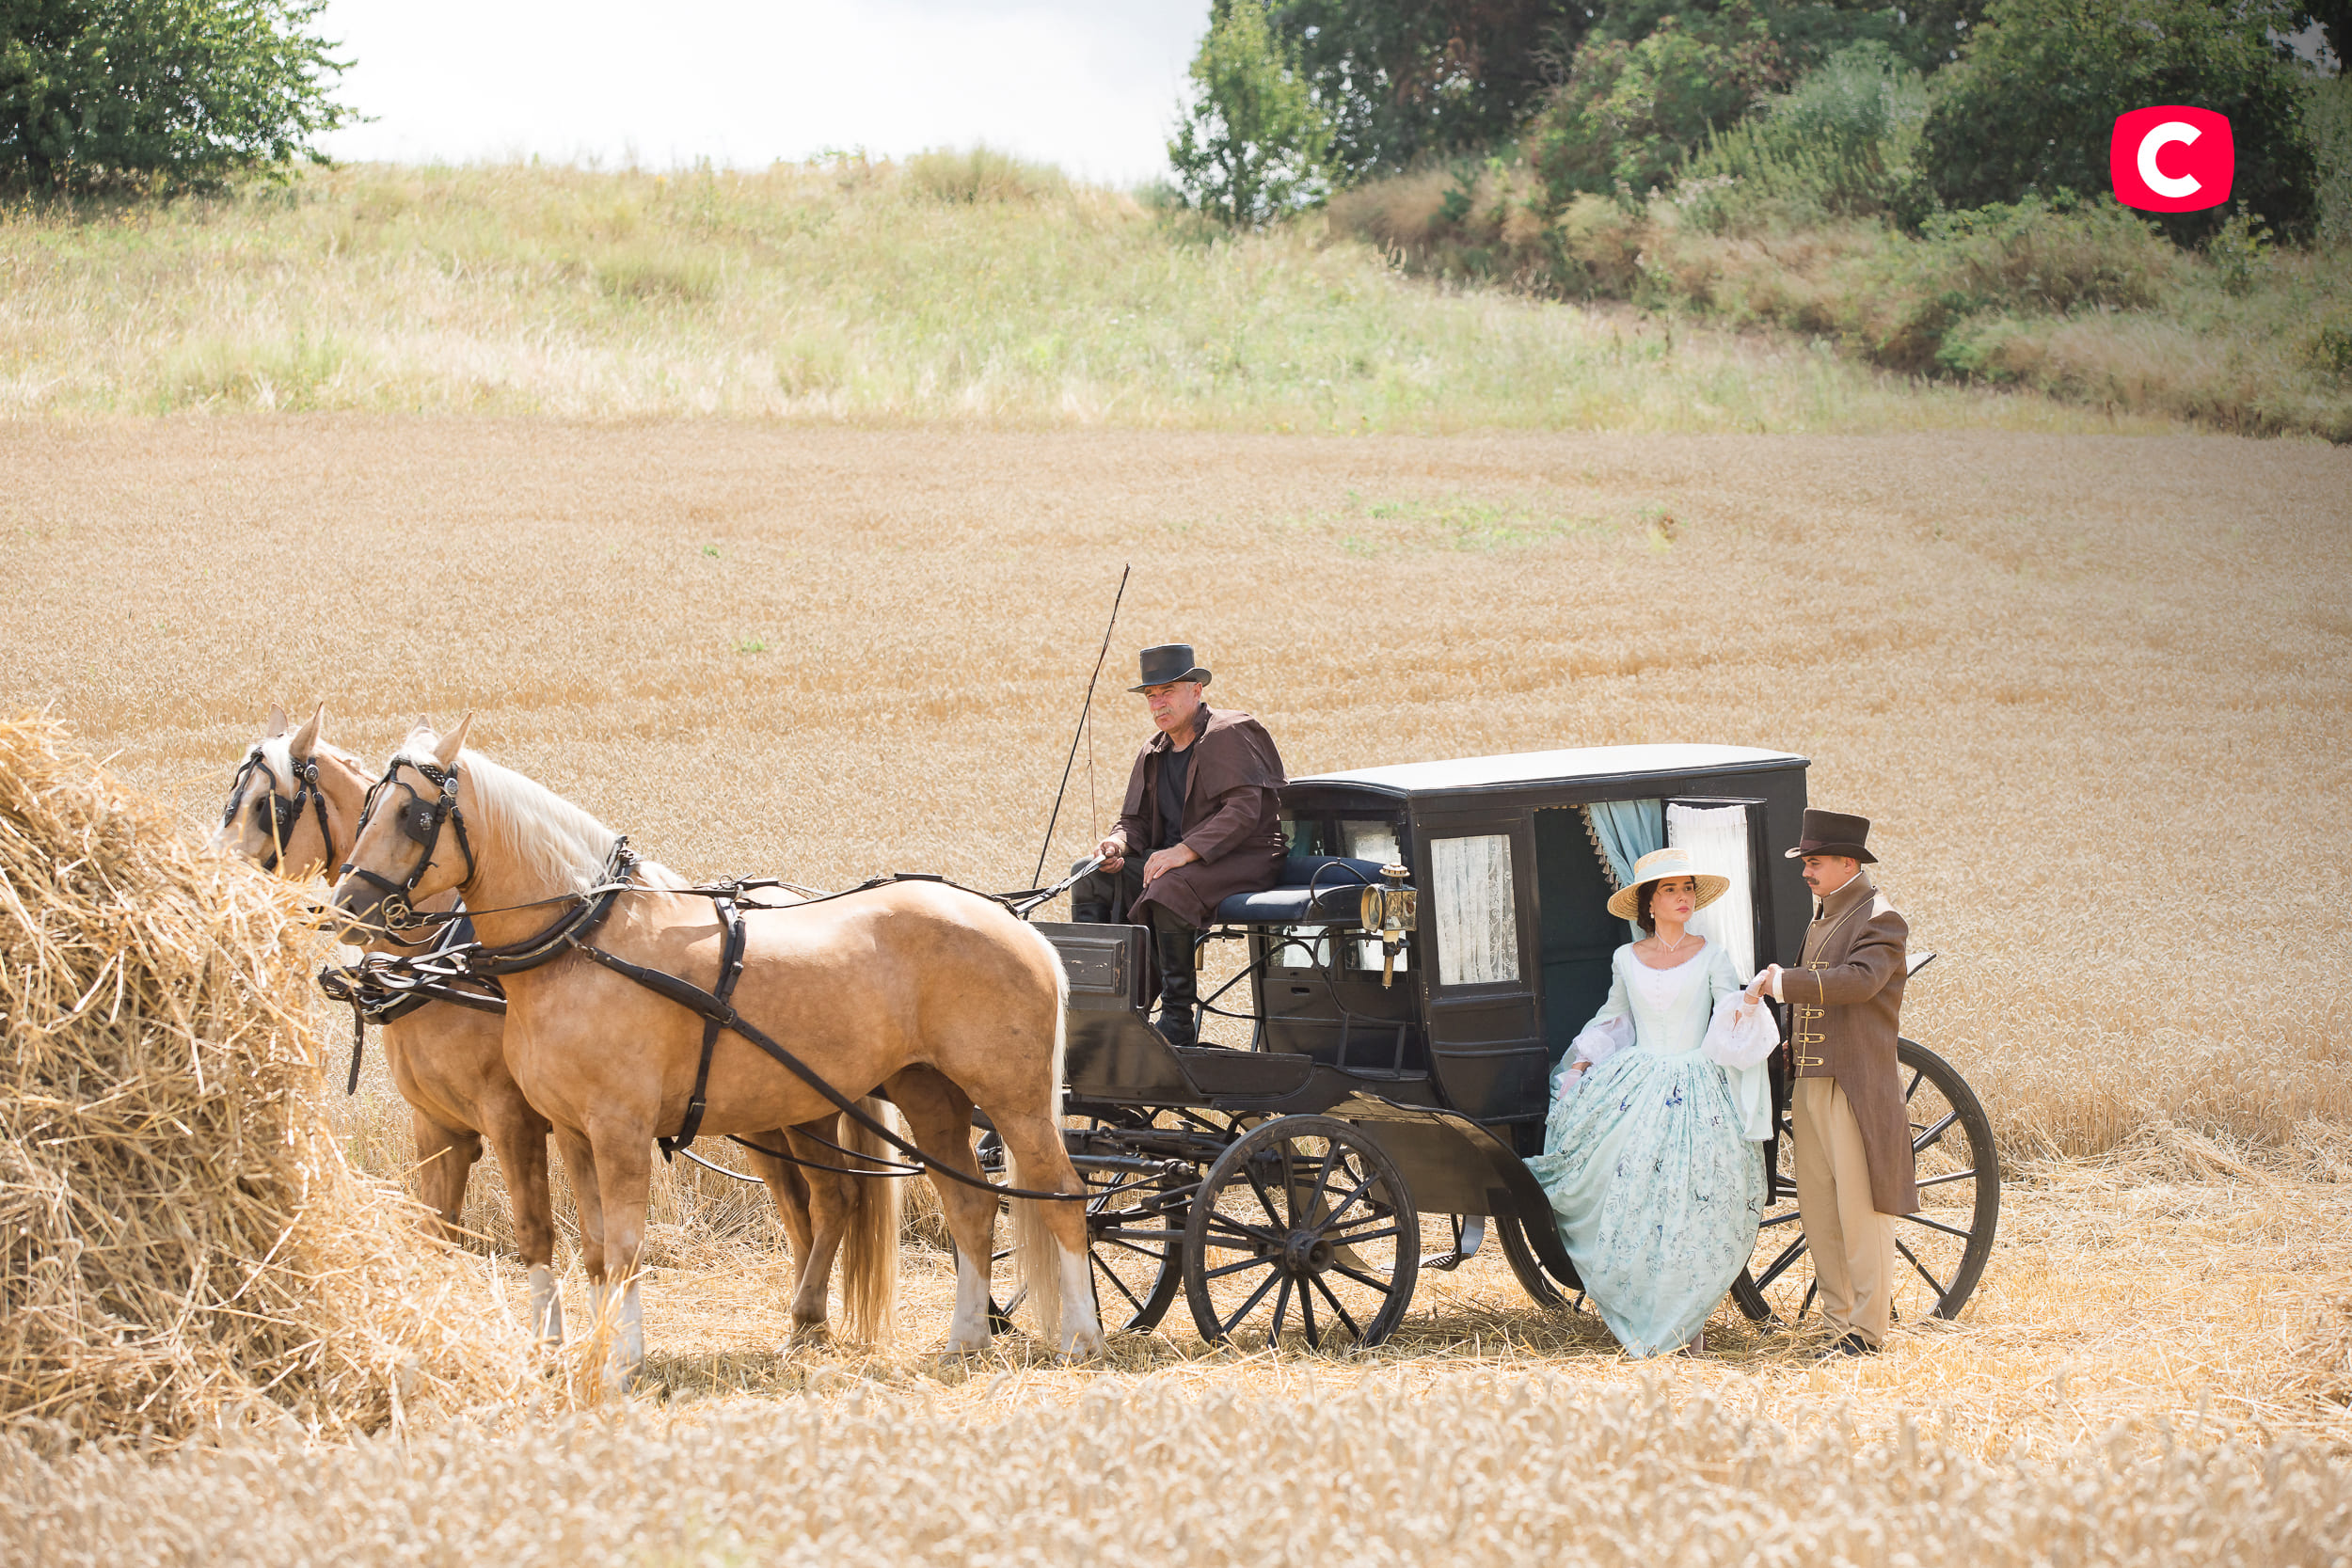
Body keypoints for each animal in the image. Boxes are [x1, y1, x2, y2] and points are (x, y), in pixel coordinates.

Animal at [218, 709, 898, 1354]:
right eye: (367, 812)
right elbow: (436, 1228)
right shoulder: (439, 1125)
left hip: (803, 1112)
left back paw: (807, 1314)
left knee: (832, 1199)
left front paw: (553, 1343)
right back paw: (806, 1321)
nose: (350, 908)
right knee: (799, 1206)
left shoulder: (513, 1118)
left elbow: (536, 1232)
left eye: (268, 805)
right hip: (765, 1115)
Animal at [326, 719, 1105, 1382]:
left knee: (1063, 1194)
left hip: (1013, 1099)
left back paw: (1082, 1336)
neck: (586, 938)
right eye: (367, 805)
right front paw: (601, 1348)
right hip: (929, 1094)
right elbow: (596, 1248)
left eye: (414, 815)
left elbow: (626, 1243)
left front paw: (623, 1360)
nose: (344, 907)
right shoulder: (572, 1133)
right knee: (969, 1205)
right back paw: (964, 1339)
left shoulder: (616, 1129)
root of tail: (1013, 920)